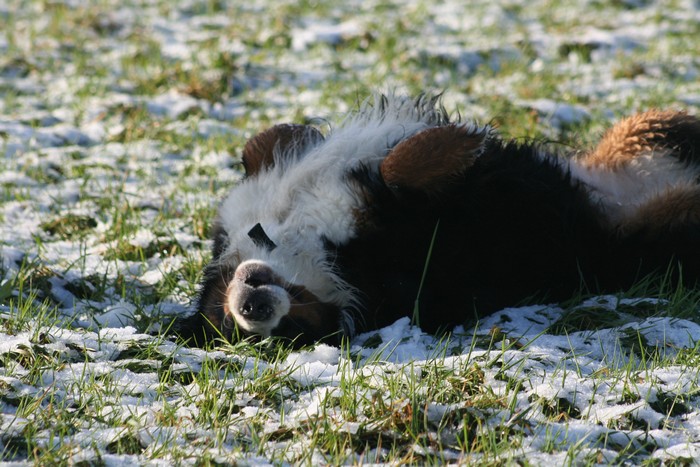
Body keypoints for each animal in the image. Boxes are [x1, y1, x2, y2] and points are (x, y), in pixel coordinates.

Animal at [175, 96, 700, 348]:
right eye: (295, 329)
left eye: (223, 309)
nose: (253, 310)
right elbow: (402, 173)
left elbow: (271, 143)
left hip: (645, 128)